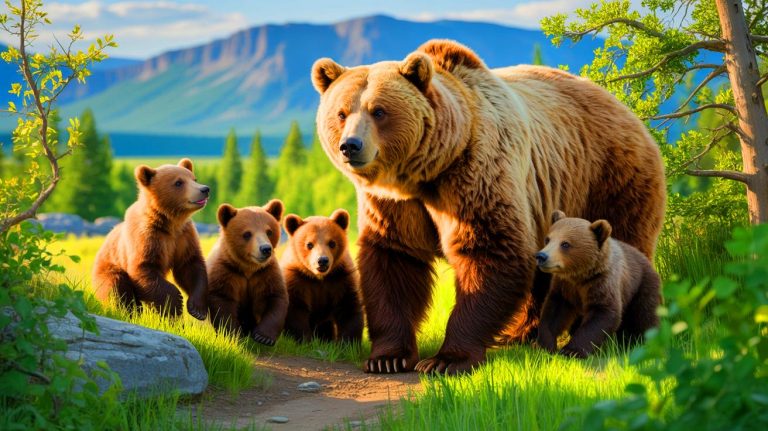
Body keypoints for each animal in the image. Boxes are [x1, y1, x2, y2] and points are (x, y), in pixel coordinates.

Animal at [92, 158, 209, 319]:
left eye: (194, 179)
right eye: (178, 182)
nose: (204, 189)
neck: (169, 223)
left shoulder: (184, 236)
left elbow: (190, 265)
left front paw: (197, 309)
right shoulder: (146, 236)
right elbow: (144, 268)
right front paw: (175, 306)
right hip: (108, 267)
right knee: (116, 288)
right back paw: (128, 312)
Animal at [206, 201, 287, 346]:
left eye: (269, 231)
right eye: (247, 234)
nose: (265, 249)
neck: (248, 268)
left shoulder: (265, 273)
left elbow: (275, 298)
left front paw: (263, 337)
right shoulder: (226, 271)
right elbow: (222, 300)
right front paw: (233, 335)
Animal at [280, 209, 363, 344]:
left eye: (332, 243)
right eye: (309, 244)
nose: (322, 260)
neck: (319, 278)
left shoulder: (341, 278)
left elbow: (348, 306)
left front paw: (348, 343)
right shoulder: (297, 278)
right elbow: (295, 309)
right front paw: (303, 340)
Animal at [535, 211, 662, 358]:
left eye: (565, 244)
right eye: (548, 239)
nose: (541, 256)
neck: (580, 276)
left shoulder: (602, 282)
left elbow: (603, 313)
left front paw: (571, 350)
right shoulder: (564, 287)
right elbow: (553, 313)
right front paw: (546, 345)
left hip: (642, 287)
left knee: (646, 316)